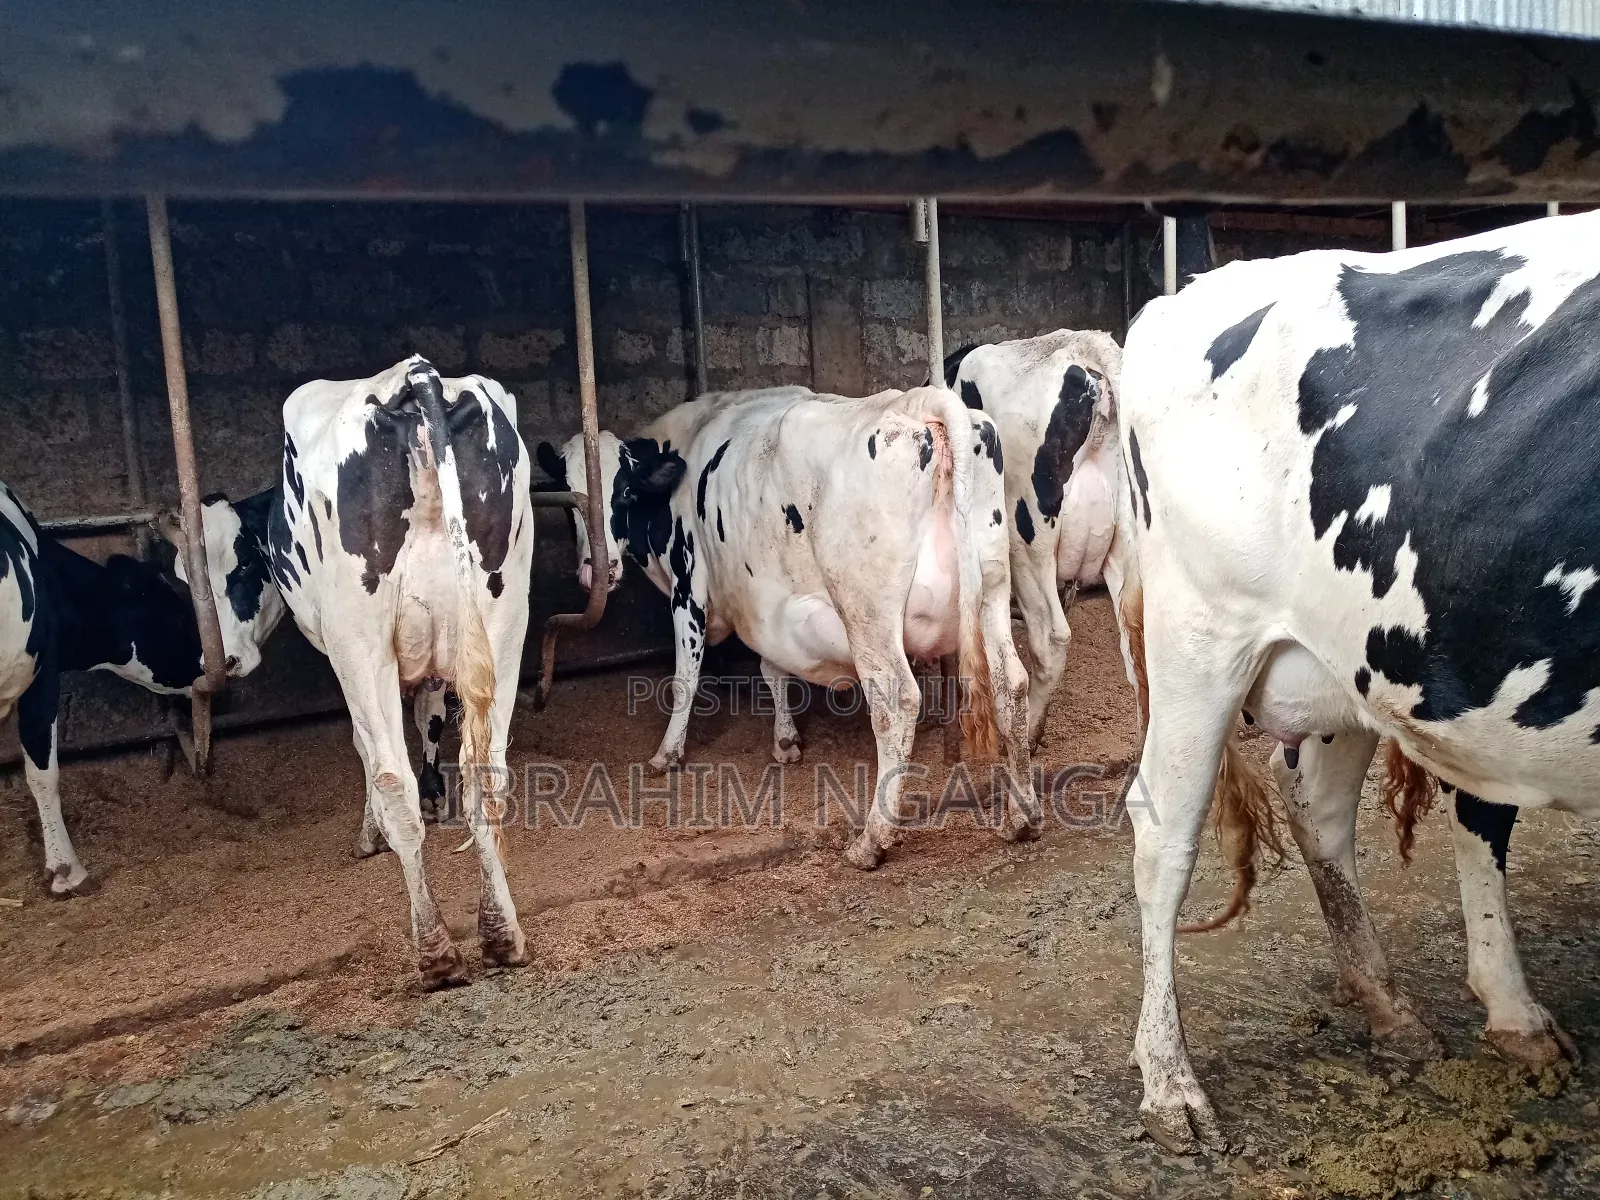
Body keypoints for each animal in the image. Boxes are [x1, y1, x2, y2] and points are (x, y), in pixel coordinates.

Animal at [1, 484, 283, 895]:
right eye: (181, 606)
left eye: (245, 563)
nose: (219, 662)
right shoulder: (42, 677)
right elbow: (43, 773)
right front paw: (67, 870)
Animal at [257, 356, 533, 987]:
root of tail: (417, 376)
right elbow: (431, 720)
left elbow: (368, 750)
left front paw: (368, 835)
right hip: (506, 611)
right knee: (487, 772)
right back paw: (501, 936)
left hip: (359, 637)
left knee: (392, 780)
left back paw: (435, 953)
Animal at [538, 384, 1038, 869]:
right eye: (568, 503)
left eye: (623, 492)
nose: (595, 570)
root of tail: (919, 401)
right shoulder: (765, 599)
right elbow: (772, 668)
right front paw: (785, 739)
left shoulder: (689, 586)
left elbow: (685, 679)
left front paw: (668, 753)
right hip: (992, 587)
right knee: (1010, 681)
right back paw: (1022, 816)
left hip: (867, 611)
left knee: (897, 702)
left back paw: (871, 841)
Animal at [1108, 212, 1600, 1152]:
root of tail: (1184, 295)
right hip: (1200, 635)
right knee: (1164, 830)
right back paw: (1169, 1083)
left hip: (1365, 657)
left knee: (1328, 800)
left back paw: (1415, 1007)